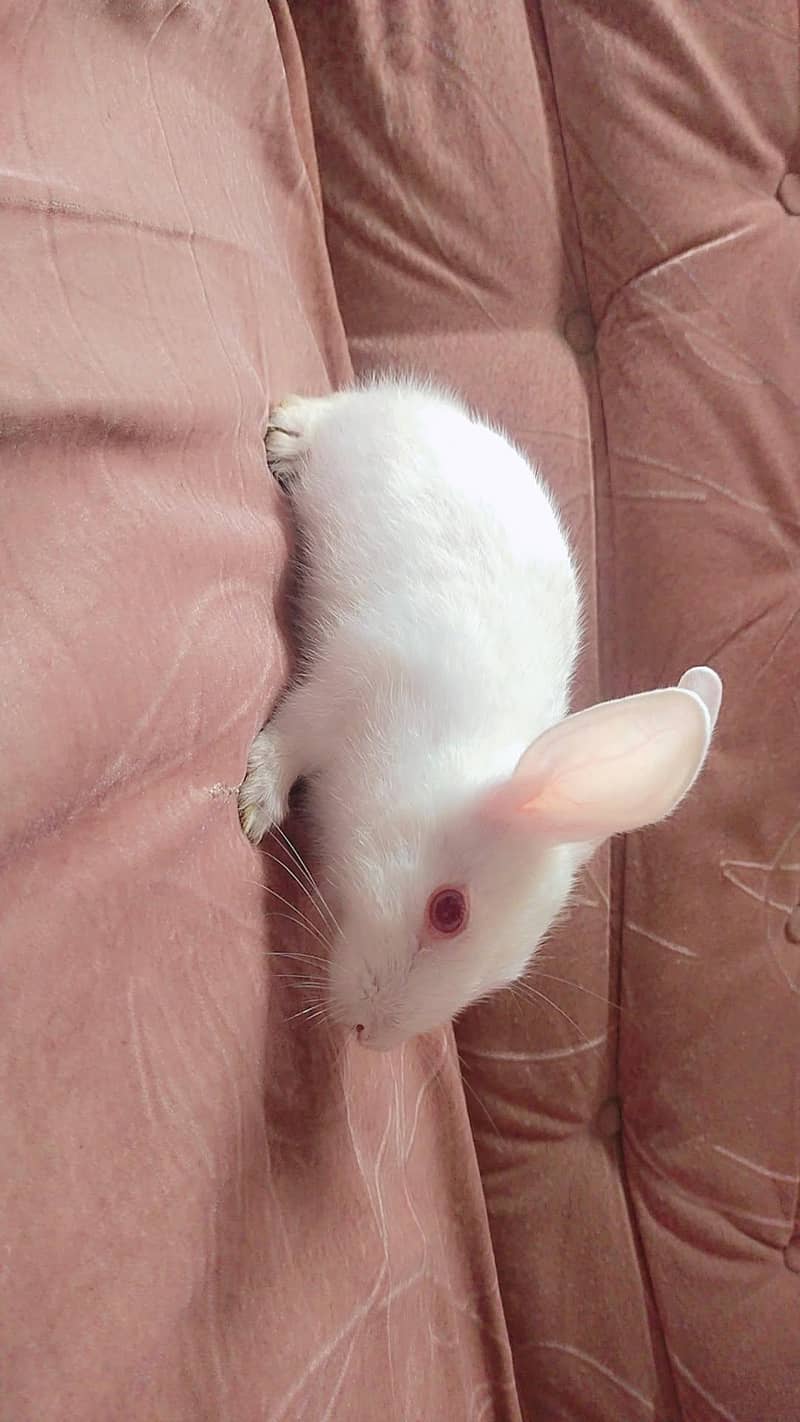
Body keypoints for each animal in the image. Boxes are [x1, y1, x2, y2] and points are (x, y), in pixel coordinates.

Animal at [239, 376, 722, 1051]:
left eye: (506, 972)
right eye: (449, 911)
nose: (368, 1034)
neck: (431, 762)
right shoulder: (339, 688)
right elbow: (284, 741)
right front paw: (255, 809)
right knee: (328, 415)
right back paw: (285, 435)